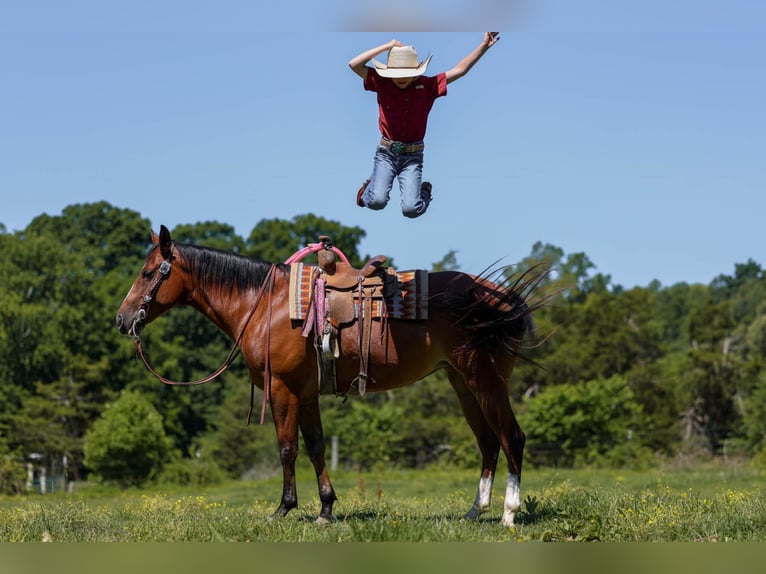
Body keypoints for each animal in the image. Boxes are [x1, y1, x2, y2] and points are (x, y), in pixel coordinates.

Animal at [115, 225, 543, 527]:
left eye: (148, 272)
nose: (121, 319)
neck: (265, 305)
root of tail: (503, 298)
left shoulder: (282, 390)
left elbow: (288, 448)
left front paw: (284, 508)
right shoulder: (306, 394)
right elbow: (317, 446)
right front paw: (325, 509)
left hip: (486, 381)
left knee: (512, 437)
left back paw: (508, 514)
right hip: (463, 384)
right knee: (488, 442)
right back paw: (475, 511)